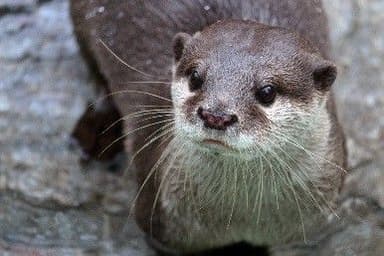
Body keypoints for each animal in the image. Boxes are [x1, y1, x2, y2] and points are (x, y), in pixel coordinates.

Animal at [70, 0, 348, 254]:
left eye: (267, 91)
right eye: (195, 77)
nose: (216, 116)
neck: (242, 217)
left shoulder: (307, 232)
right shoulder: (161, 224)